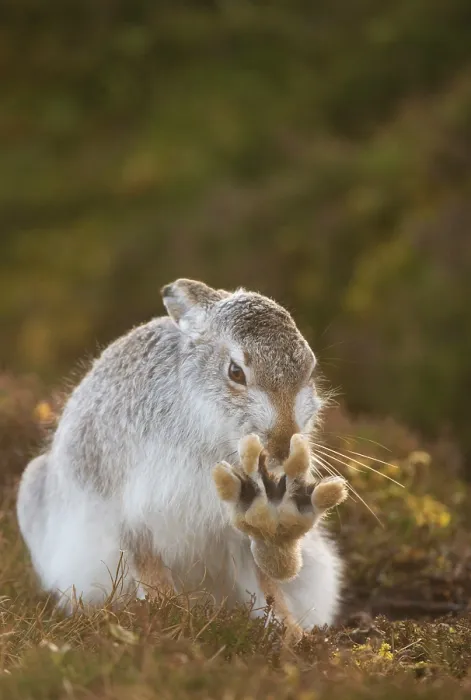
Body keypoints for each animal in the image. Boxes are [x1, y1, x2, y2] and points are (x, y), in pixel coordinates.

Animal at [17, 278, 348, 632]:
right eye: (235, 372)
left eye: (309, 373)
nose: (283, 448)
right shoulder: (129, 507)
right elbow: (145, 563)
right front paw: (166, 610)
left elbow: (266, 582)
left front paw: (288, 632)